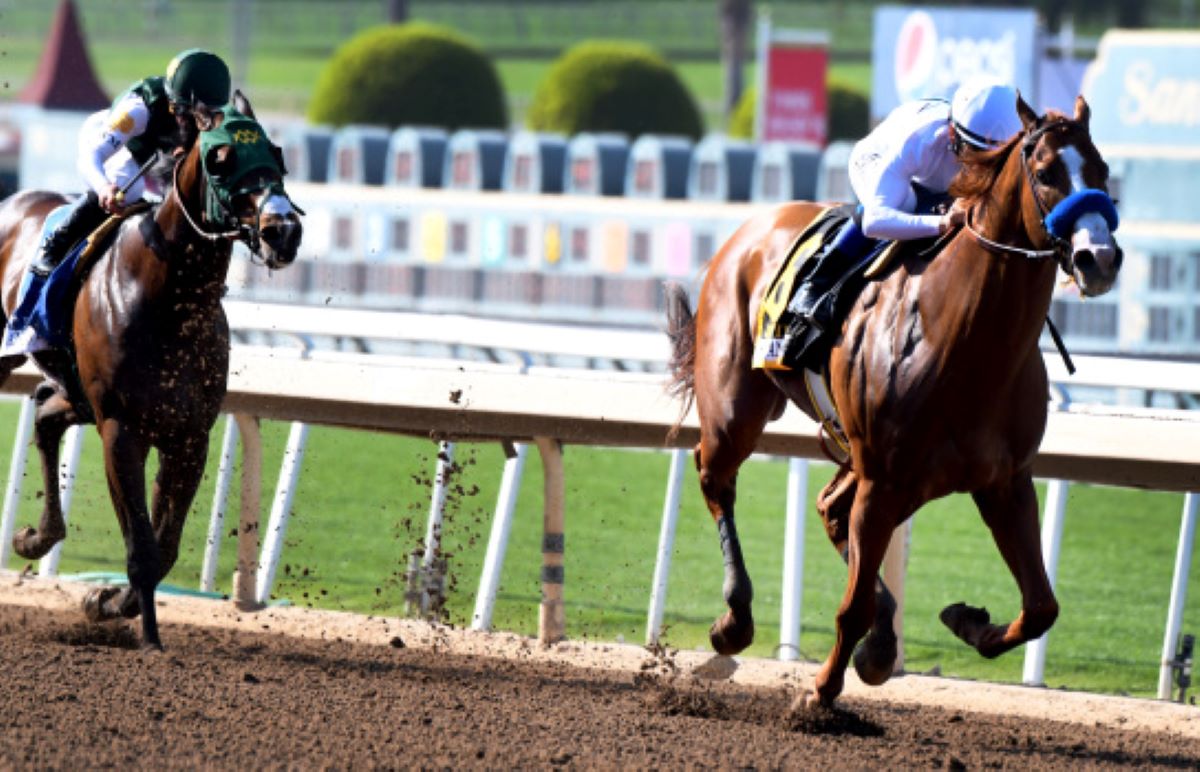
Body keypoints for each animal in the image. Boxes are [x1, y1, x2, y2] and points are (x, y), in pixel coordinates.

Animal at [0, 93, 304, 648]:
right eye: (220, 159)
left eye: (276, 154)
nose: (284, 231)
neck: (165, 297)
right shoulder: (122, 431)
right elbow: (141, 546)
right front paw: (149, 638)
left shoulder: (187, 436)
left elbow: (163, 548)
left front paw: (106, 601)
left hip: (78, 394)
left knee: (45, 412)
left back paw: (37, 537)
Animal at [667, 94, 1123, 705]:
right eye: (1048, 172)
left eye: (1101, 170)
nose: (1101, 258)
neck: (965, 341)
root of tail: (751, 227)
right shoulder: (884, 480)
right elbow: (850, 607)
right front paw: (819, 694)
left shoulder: (1004, 481)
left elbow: (1041, 606)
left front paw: (967, 621)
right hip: (737, 406)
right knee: (716, 477)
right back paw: (735, 620)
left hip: (865, 460)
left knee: (830, 509)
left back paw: (881, 642)